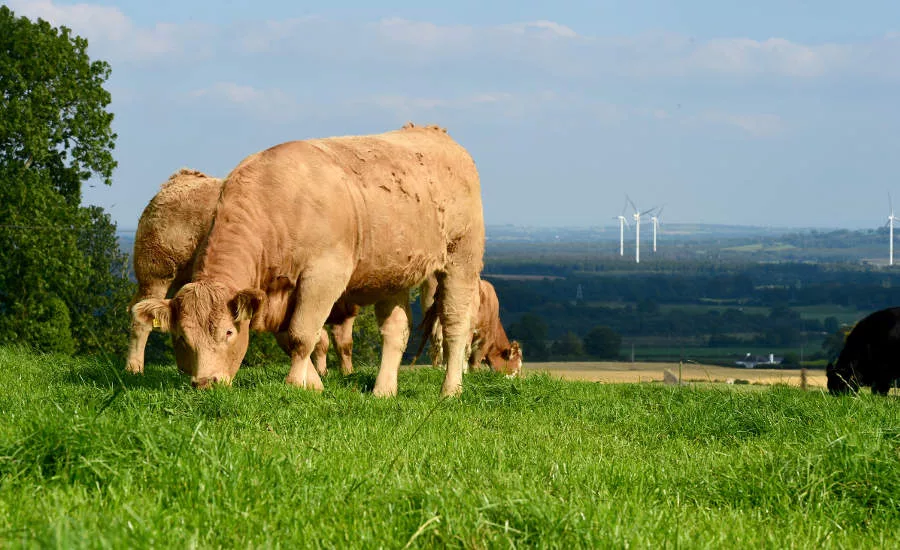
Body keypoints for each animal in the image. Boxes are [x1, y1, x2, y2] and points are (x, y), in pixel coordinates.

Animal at [125, 168, 357, 377]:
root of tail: (181, 179)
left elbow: (340, 341)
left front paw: (343, 373)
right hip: (156, 274)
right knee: (140, 322)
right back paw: (134, 368)